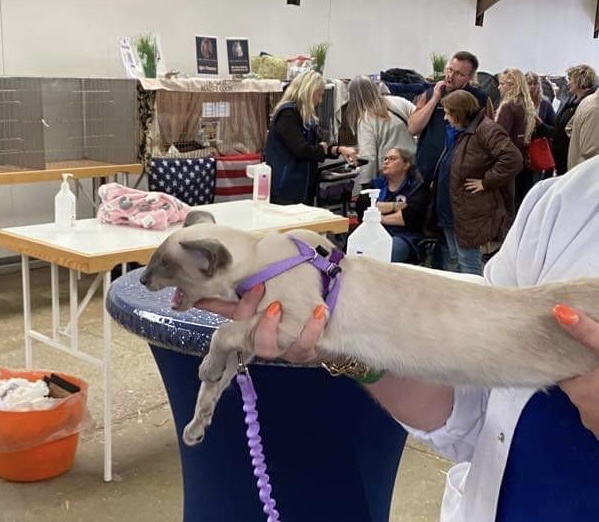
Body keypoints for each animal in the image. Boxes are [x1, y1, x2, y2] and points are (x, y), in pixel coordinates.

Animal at [140, 210, 599, 445]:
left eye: (163, 264)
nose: (142, 278)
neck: (261, 258)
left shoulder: (285, 322)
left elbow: (222, 335)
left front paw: (205, 368)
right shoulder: (256, 338)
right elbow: (213, 386)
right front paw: (196, 427)